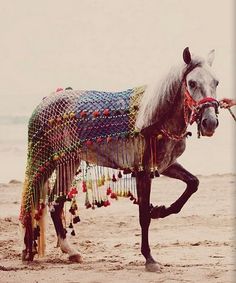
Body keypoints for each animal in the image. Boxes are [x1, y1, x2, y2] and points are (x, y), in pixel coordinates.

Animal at [19, 47, 219, 272]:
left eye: (216, 82)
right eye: (192, 83)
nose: (210, 123)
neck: (154, 119)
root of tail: (45, 101)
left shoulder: (165, 165)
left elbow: (193, 183)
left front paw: (160, 211)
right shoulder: (143, 171)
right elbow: (143, 217)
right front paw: (149, 259)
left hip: (64, 163)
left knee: (52, 202)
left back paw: (61, 250)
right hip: (59, 162)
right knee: (49, 202)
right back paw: (49, 249)